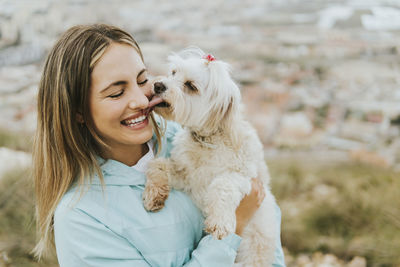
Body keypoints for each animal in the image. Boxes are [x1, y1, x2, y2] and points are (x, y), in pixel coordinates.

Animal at [143, 48, 278, 267]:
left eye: (191, 86)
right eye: (173, 72)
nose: (158, 85)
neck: (207, 140)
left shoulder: (245, 178)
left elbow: (222, 185)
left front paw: (220, 222)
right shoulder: (187, 176)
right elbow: (158, 164)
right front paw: (154, 194)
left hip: (253, 252)